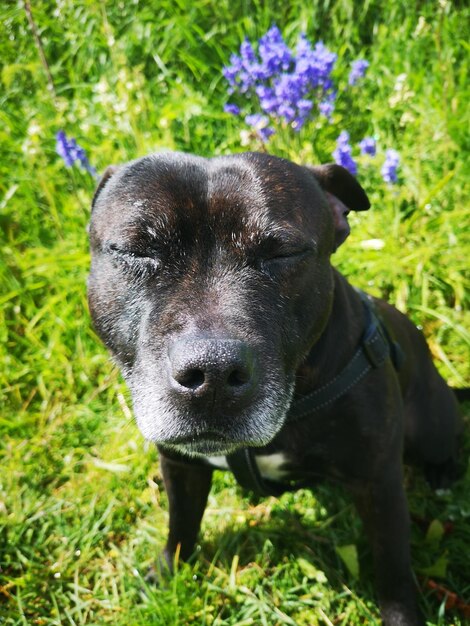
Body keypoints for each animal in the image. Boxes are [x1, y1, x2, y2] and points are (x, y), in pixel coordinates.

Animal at [86, 150, 460, 624]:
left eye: (284, 253)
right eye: (136, 250)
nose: (212, 373)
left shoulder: (380, 484)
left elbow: (393, 574)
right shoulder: (180, 464)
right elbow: (181, 523)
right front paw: (168, 572)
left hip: (431, 426)